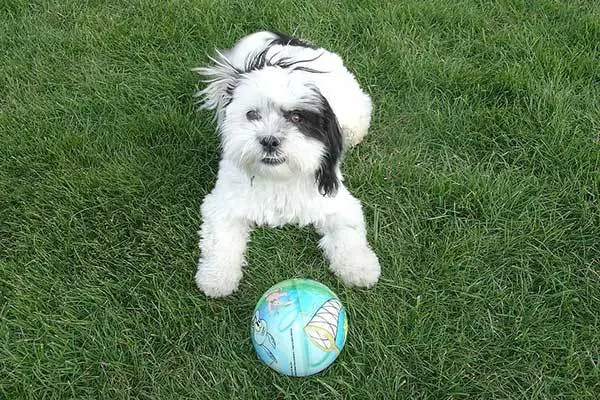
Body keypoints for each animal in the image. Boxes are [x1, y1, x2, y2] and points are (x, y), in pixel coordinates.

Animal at [192, 31, 380, 296]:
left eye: (297, 117)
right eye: (252, 114)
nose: (269, 140)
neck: (278, 178)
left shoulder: (337, 203)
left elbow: (348, 233)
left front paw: (359, 268)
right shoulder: (222, 203)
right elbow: (220, 239)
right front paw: (216, 277)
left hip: (352, 109)